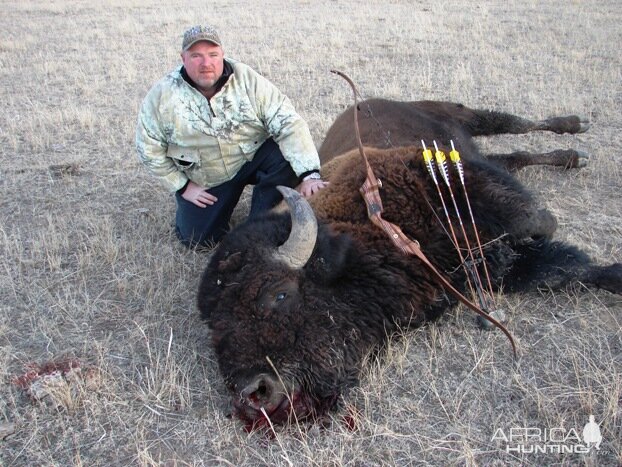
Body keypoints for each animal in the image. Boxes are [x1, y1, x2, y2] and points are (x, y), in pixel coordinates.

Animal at [197, 100, 620, 430]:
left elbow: (539, 225)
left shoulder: (466, 187)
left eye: (279, 293)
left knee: (511, 124)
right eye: (216, 326)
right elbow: (564, 271)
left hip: (460, 114)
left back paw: (576, 135)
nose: (255, 392)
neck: (354, 230)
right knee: (513, 156)